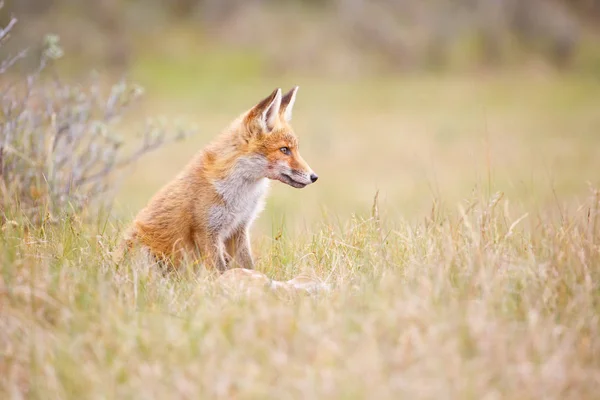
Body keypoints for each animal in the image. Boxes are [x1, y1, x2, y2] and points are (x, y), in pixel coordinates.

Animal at [122, 86, 318, 270]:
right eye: (284, 150)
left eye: (295, 149)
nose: (314, 177)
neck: (241, 196)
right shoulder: (206, 232)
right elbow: (220, 271)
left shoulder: (239, 228)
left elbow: (247, 266)